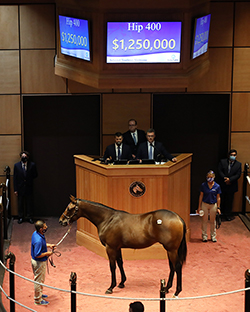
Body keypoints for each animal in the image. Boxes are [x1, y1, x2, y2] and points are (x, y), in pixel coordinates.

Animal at [59, 196, 188, 296]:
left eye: (69, 208)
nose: (61, 221)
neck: (108, 219)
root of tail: (178, 218)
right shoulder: (117, 248)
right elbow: (120, 263)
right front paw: (122, 283)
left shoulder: (110, 248)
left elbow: (112, 266)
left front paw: (111, 287)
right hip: (170, 250)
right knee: (172, 267)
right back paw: (166, 288)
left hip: (171, 249)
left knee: (177, 266)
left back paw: (177, 291)